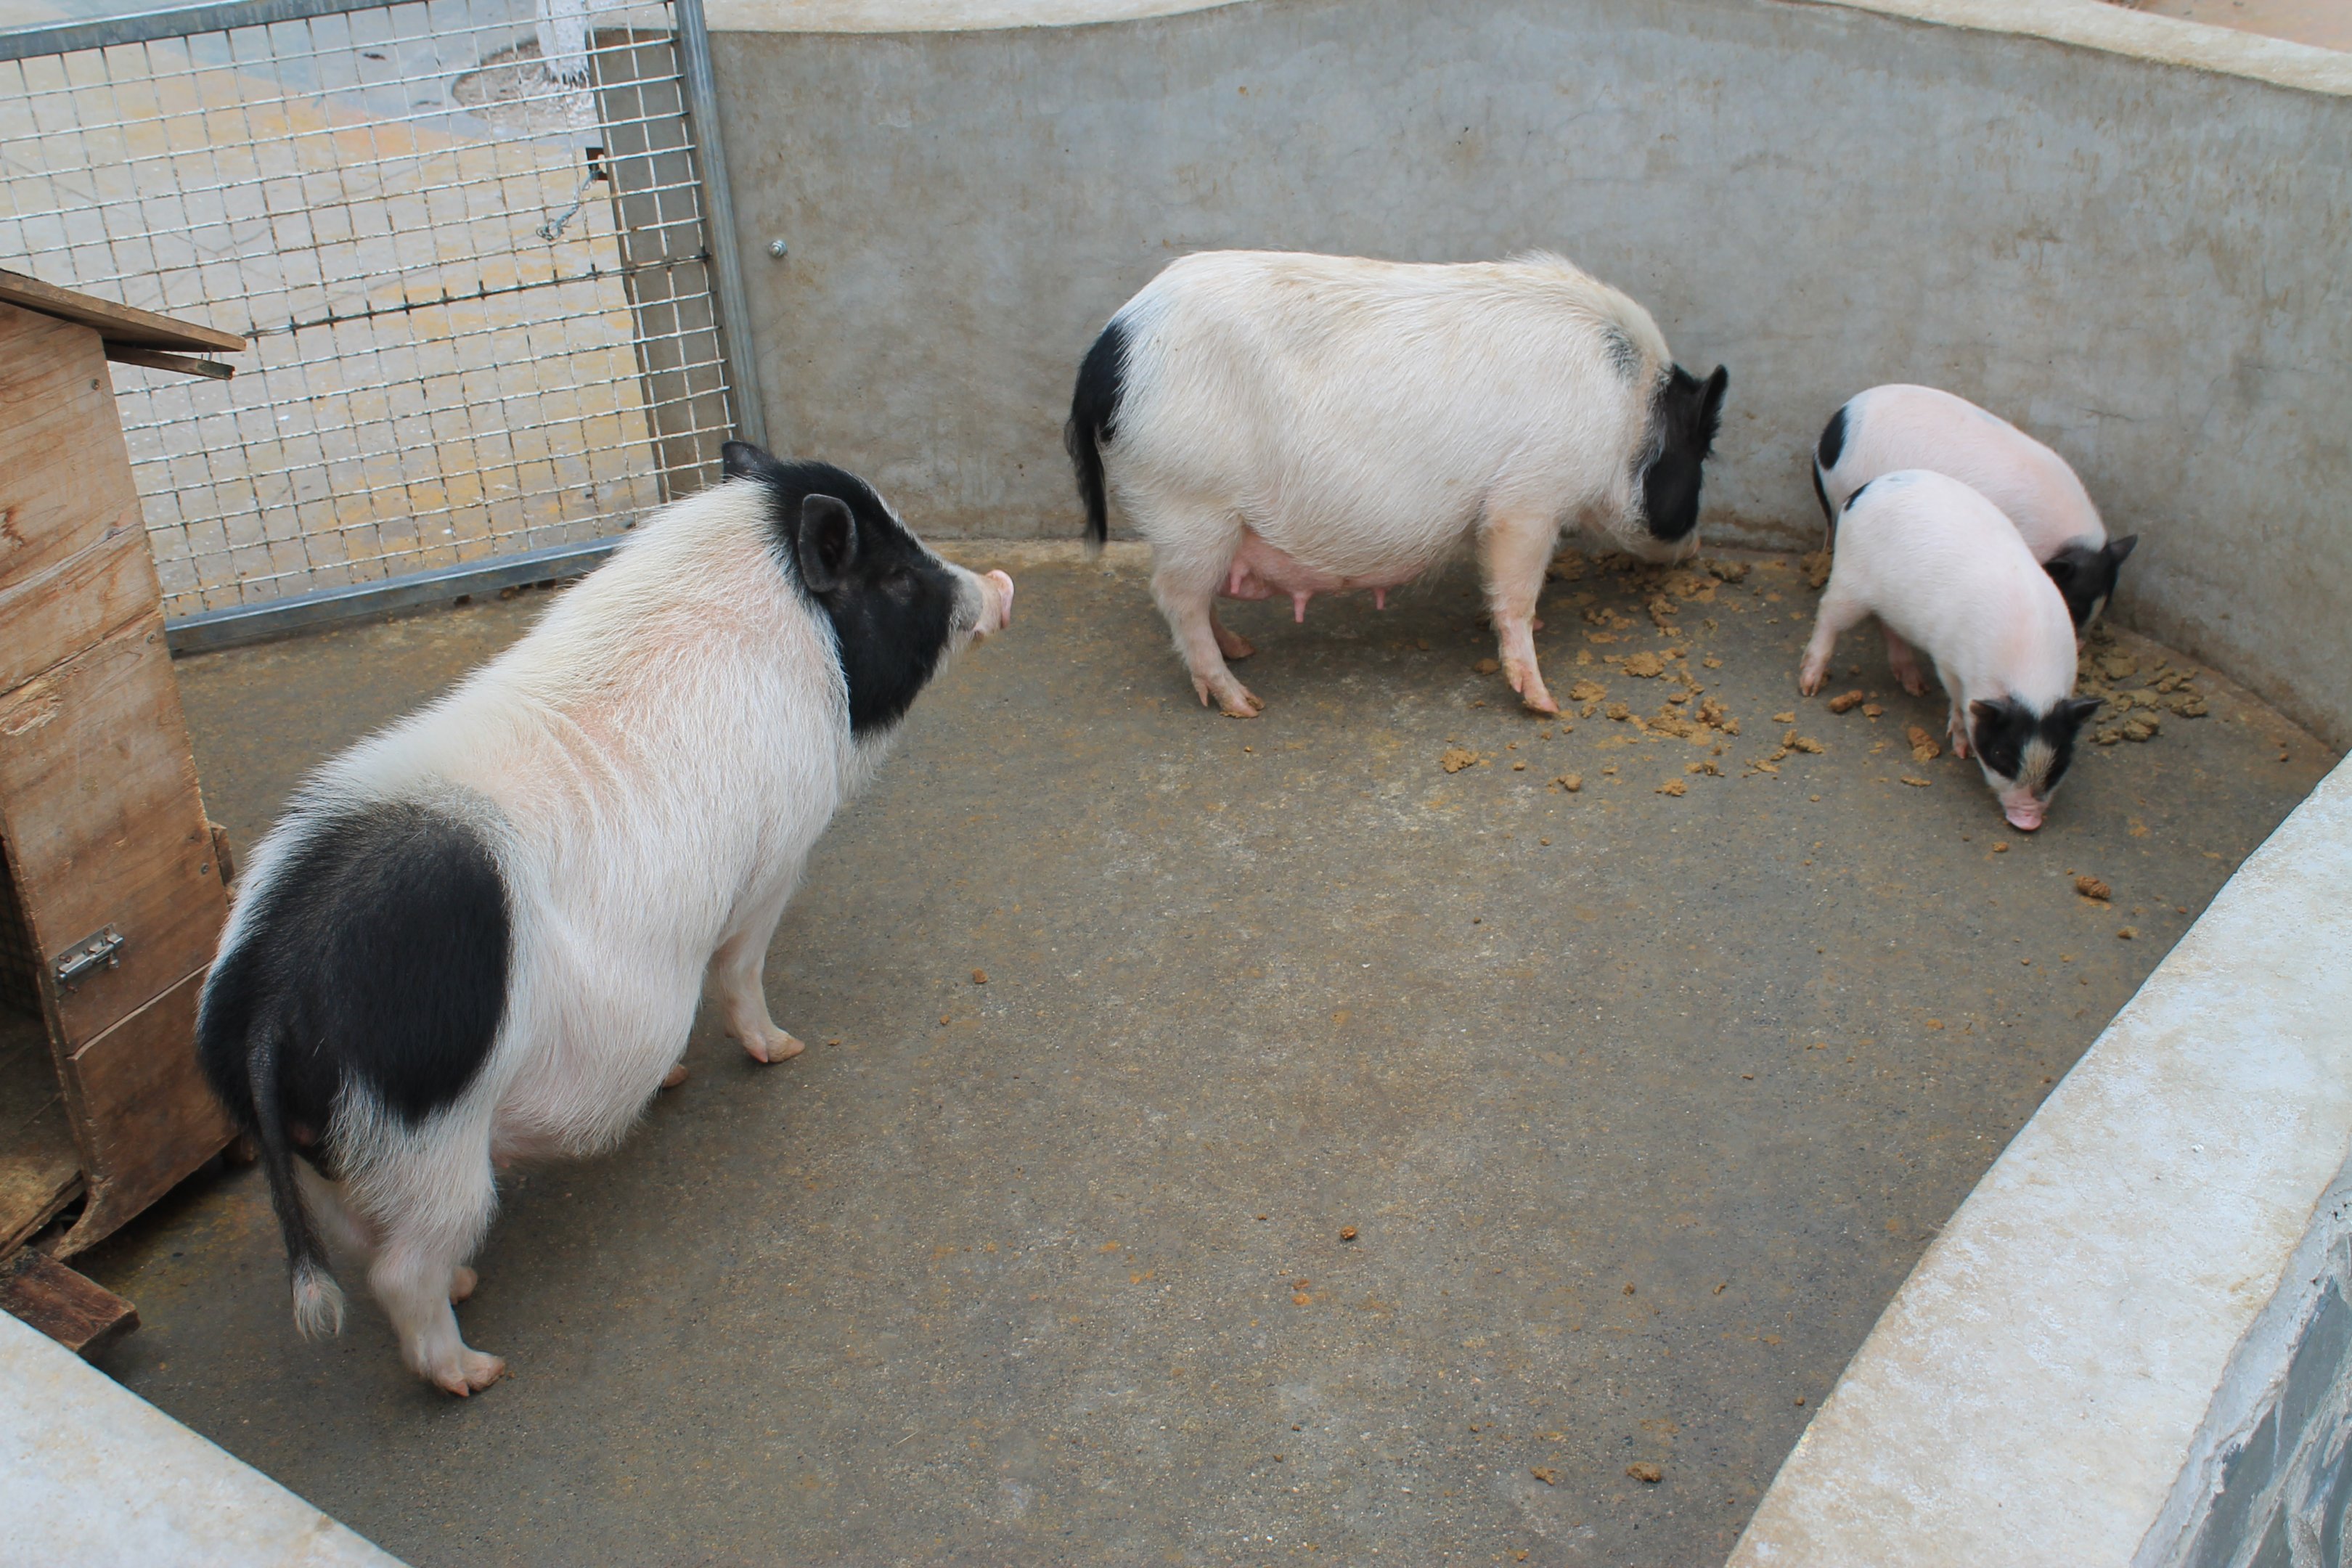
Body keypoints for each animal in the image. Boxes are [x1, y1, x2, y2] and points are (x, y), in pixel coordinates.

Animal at [194, 445, 1013, 1394]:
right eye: (896, 576)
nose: (997, 584)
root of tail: (265, 1001)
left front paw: (681, 1076)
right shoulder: (777, 859)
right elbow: (739, 970)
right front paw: (784, 1050)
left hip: (325, 1157)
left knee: (361, 1245)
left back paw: (467, 1290)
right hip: (428, 1141)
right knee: (402, 1270)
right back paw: (477, 1371)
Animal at [1065, 250, 1727, 717]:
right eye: (1698, 459)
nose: (1697, 547)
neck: (1629, 416)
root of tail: (1106, 354)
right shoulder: (1529, 497)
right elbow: (1517, 589)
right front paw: (1545, 704)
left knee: (1194, 601)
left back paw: (1243, 650)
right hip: (1189, 503)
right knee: (1174, 599)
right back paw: (1244, 703)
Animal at [1799, 468, 2099, 831]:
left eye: (2059, 761)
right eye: (2001, 755)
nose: (2027, 821)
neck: (2031, 678)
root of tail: (1864, 490)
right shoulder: (1948, 660)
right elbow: (1959, 703)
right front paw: (1960, 749)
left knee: (1889, 628)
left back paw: (1914, 686)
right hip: (1850, 582)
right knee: (1828, 613)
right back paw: (1809, 686)